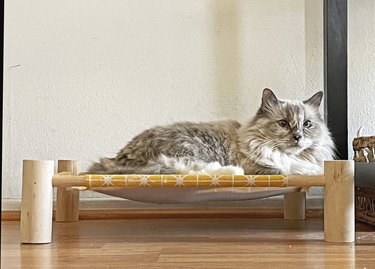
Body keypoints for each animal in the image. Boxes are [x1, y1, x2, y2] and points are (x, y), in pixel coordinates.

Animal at [87, 88, 334, 175]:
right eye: (283, 123)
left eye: (307, 124)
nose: (298, 137)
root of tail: (120, 156)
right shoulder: (262, 167)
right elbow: (286, 169)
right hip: (192, 150)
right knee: (191, 169)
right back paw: (230, 171)